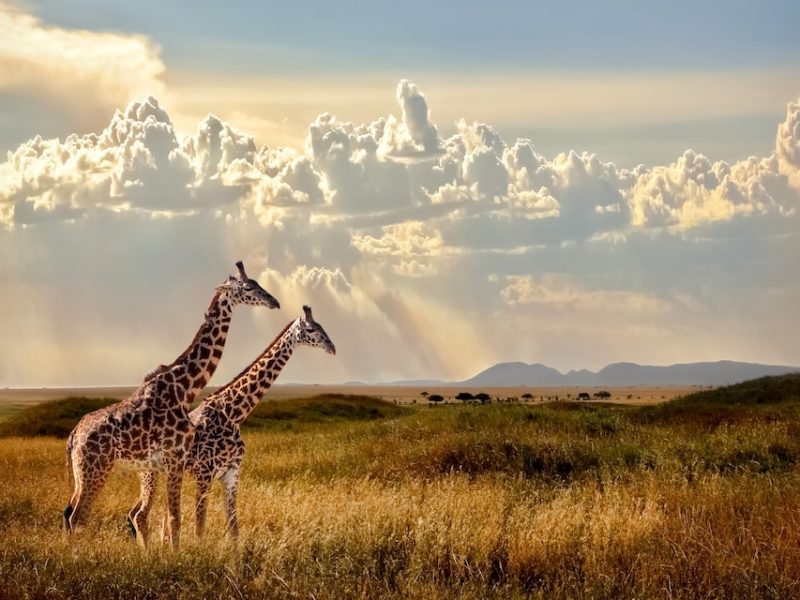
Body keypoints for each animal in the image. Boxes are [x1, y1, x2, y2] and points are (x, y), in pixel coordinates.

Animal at [63, 261, 280, 548]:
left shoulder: (172, 462)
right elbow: (175, 518)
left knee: (71, 513)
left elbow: (172, 518)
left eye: (257, 283)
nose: (274, 301)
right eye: (247, 287)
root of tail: (74, 436)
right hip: (95, 470)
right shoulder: (176, 457)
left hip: (82, 474)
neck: (183, 389)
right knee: (78, 517)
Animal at [126, 305, 335, 542]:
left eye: (321, 326)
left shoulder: (232, 473)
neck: (234, 414)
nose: (332, 347)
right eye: (310, 329)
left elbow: (234, 528)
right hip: (149, 473)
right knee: (141, 515)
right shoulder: (205, 473)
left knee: (148, 515)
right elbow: (200, 527)